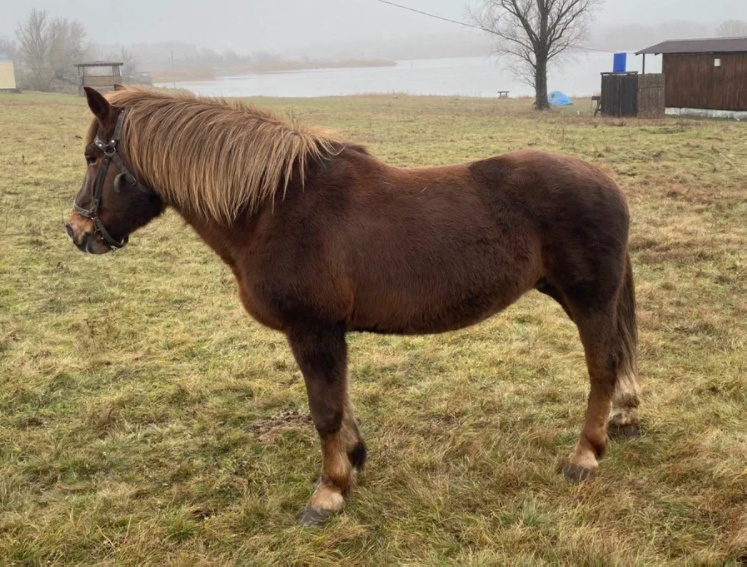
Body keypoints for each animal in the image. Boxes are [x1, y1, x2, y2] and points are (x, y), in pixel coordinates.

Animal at [65, 85, 644, 528]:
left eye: (94, 156)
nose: (76, 231)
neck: (274, 207)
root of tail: (605, 180)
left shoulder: (312, 330)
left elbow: (323, 410)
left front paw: (329, 491)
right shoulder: (329, 333)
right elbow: (340, 402)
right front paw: (354, 461)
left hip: (588, 298)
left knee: (602, 367)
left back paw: (585, 455)